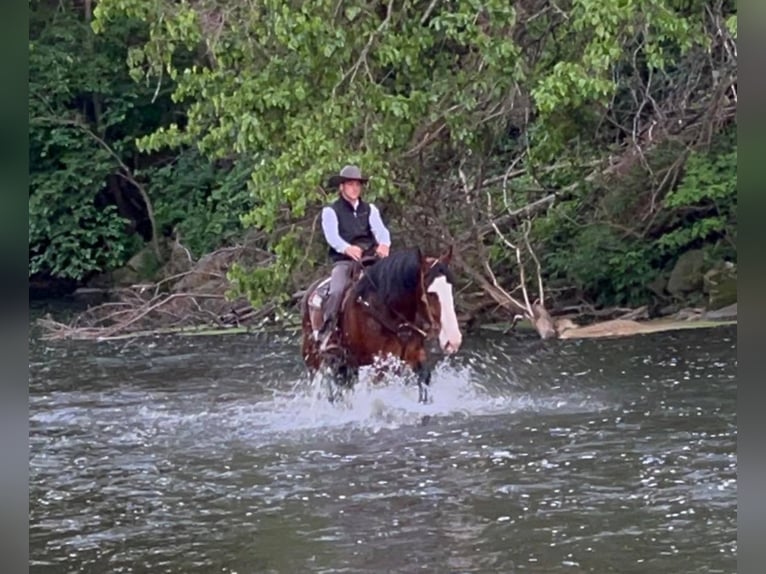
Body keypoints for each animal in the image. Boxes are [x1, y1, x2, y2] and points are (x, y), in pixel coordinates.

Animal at [302, 248, 464, 404]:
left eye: (451, 288)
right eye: (430, 293)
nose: (453, 341)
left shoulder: (414, 355)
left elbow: (424, 380)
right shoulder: (379, 364)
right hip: (315, 361)